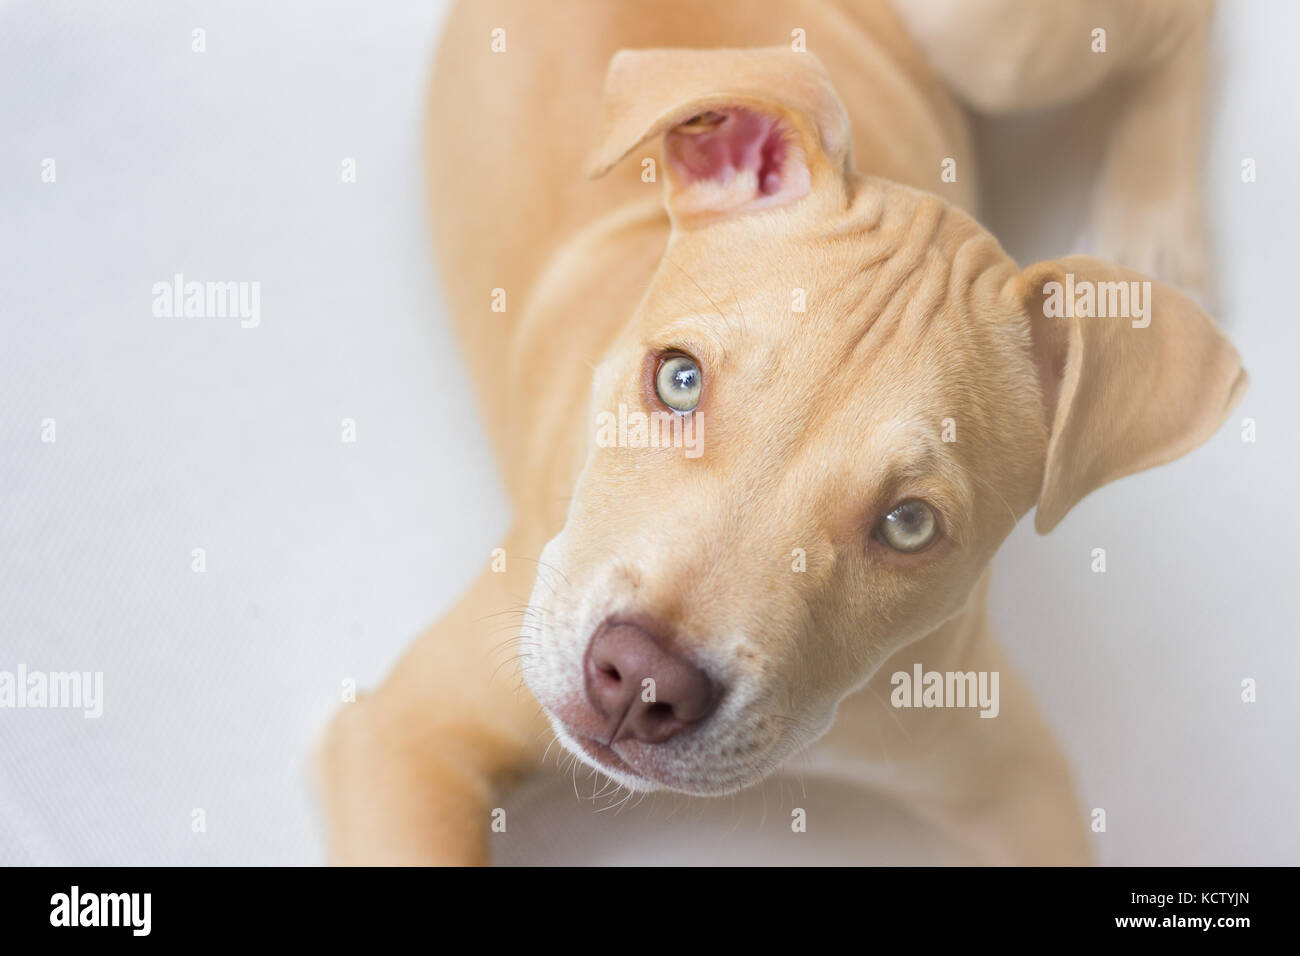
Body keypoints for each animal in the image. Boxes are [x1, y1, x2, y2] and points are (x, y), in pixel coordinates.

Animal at [314, 0, 1237, 868]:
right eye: (679, 379)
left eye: (910, 524)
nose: (641, 682)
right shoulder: (407, 737)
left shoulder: (1021, 781)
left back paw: (1152, 228)